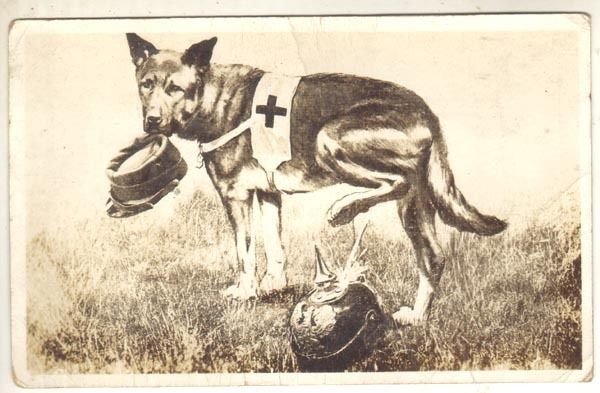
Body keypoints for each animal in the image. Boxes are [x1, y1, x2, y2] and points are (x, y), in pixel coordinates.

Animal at [125, 33, 506, 324]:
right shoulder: (267, 194)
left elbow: (244, 252)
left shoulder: (235, 195)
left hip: (331, 139)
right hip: (414, 204)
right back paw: (417, 317)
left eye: (175, 88)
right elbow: (275, 247)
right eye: (146, 85)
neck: (214, 98)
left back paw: (344, 209)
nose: (152, 121)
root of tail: (427, 112)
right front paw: (274, 284)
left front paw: (246, 291)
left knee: (393, 183)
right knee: (433, 257)